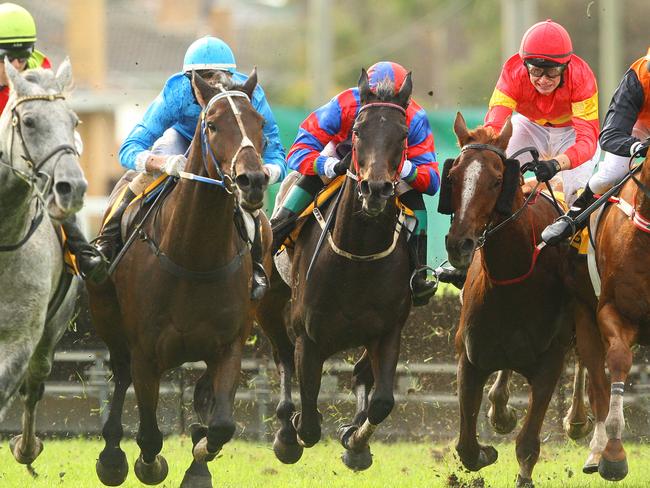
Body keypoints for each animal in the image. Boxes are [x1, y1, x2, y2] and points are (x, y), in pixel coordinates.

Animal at [86, 70, 268, 486]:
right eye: (212, 124)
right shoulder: (145, 350)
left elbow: (220, 424)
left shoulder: (228, 345)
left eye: (259, 123)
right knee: (120, 376)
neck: (194, 257)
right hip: (109, 320)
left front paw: (200, 457)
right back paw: (111, 457)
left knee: (202, 395)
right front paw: (147, 464)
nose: (253, 180)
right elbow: (150, 434)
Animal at [256, 67, 412, 468]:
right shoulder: (308, 338)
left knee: (360, 376)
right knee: (282, 358)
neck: (357, 257)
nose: (376, 189)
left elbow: (382, 400)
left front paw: (355, 442)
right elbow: (310, 420)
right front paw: (293, 431)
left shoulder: (388, 331)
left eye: (403, 134)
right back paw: (285, 430)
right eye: (357, 130)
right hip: (269, 305)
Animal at [440, 112, 576, 486]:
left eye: (497, 179)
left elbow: (528, 442)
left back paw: (580, 421)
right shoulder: (469, 357)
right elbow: (465, 446)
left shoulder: (550, 362)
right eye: (453, 177)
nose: (460, 244)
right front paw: (487, 448)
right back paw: (500, 410)